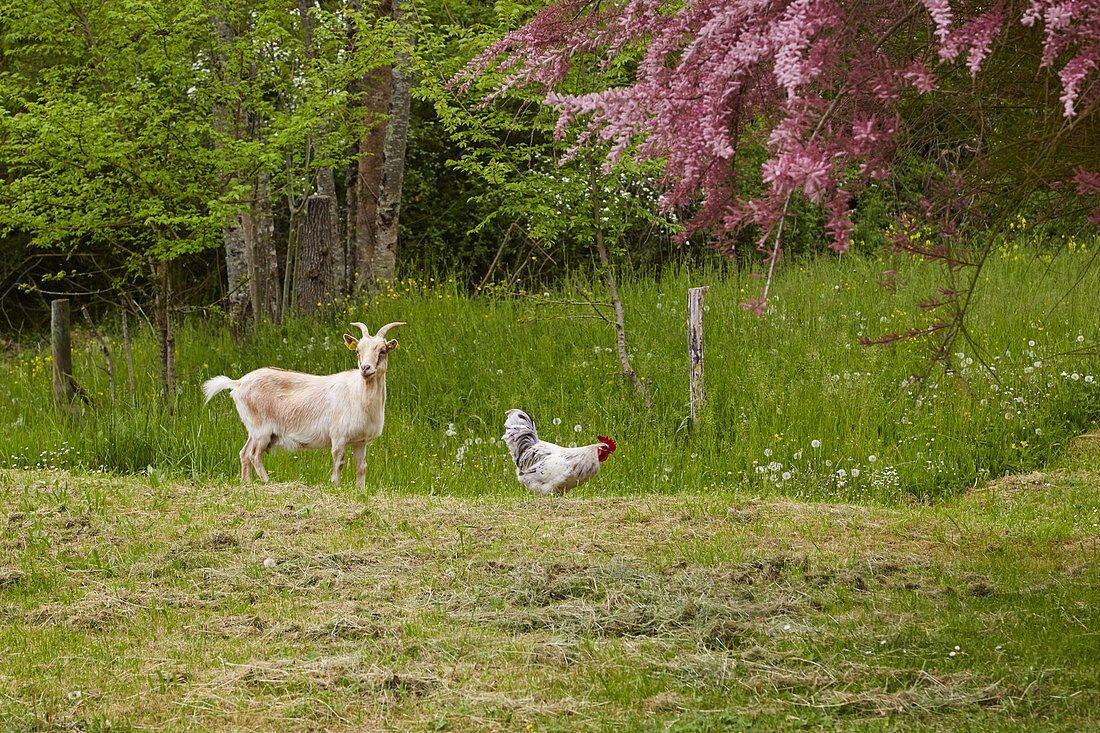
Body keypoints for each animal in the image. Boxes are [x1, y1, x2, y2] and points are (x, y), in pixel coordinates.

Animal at [202, 321, 404, 484]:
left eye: (383, 351)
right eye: (357, 351)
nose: (365, 368)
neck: (360, 395)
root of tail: (238, 383)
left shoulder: (360, 441)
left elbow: (361, 467)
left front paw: (360, 491)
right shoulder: (338, 437)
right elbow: (338, 464)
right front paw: (335, 487)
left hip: (254, 429)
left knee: (244, 453)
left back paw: (247, 483)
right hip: (261, 429)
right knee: (253, 455)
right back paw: (267, 482)